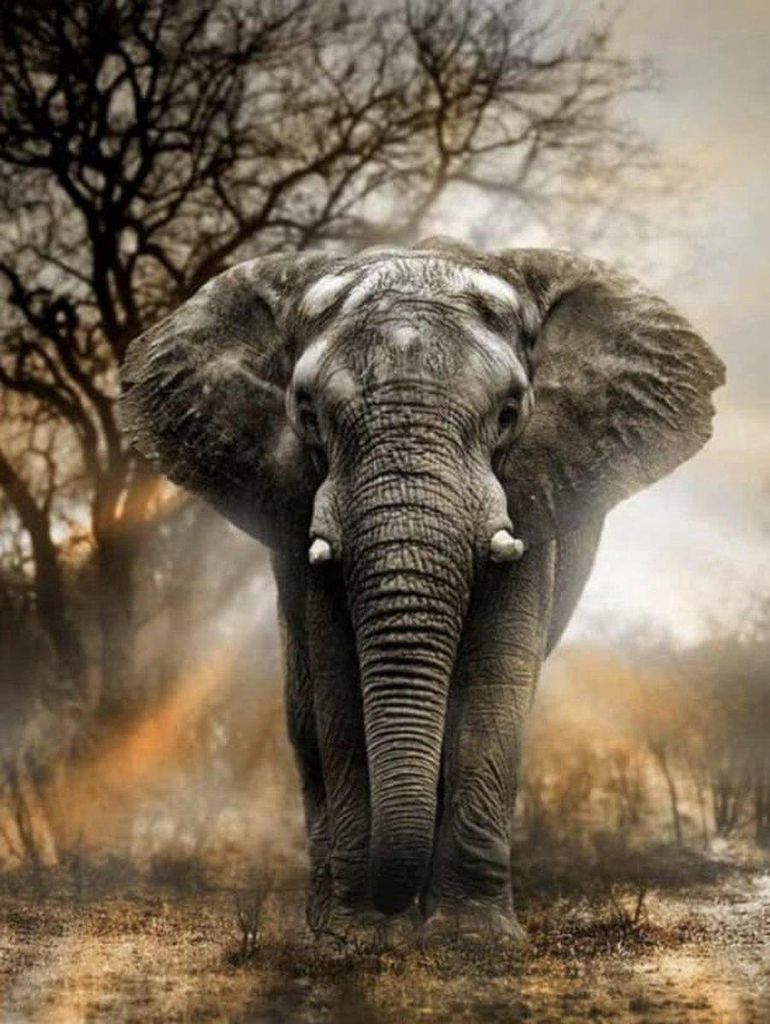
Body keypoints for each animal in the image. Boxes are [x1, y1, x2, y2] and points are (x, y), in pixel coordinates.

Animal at [120, 236, 724, 941]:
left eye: (509, 413)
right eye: (307, 415)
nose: (388, 906)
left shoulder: (530, 494)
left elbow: (494, 683)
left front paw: (473, 939)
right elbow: (338, 688)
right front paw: (360, 937)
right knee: (304, 719)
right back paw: (325, 918)